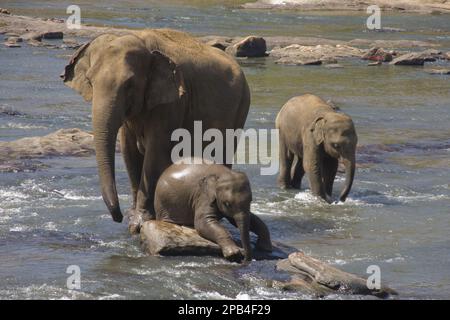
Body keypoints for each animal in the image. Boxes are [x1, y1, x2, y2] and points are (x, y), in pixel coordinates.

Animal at [62, 29, 253, 232]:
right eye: (89, 81)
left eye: (129, 84)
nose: (118, 217)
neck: (142, 40)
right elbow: (129, 152)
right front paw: (132, 217)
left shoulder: (173, 102)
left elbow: (156, 151)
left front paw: (138, 222)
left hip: (241, 108)